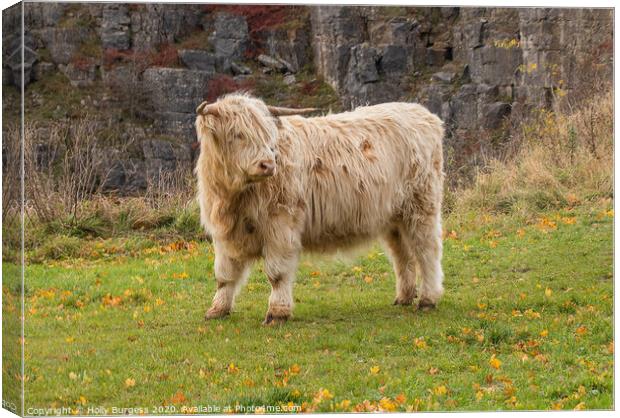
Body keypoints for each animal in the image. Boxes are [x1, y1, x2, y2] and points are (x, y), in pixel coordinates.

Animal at [196, 94, 444, 324]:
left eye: (268, 136)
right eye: (237, 134)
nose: (267, 164)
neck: (234, 197)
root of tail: (422, 113)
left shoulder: (281, 226)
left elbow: (277, 273)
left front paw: (277, 312)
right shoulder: (225, 234)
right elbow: (225, 275)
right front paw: (217, 310)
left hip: (421, 207)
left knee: (426, 251)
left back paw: (427, 300)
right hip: (394, 218)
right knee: (402, 255)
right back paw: (404, 297)